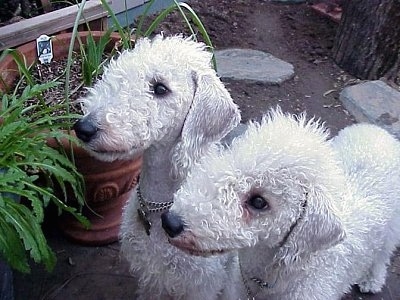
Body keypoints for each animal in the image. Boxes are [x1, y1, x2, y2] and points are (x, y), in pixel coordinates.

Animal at [162, 108, 400, 300]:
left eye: (259, 201)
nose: (170, 222)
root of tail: (378, 131)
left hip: (390, 231)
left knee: (382, 256)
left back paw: (371, 281)